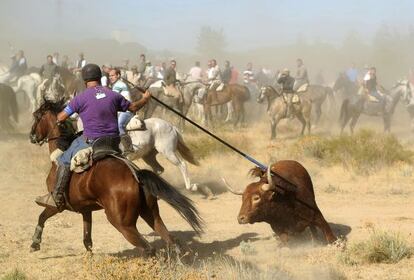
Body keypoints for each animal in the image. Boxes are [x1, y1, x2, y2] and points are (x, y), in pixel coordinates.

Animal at [28, 99, 203, 255]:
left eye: (37, 116)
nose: (32, 136)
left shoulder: (57, 205)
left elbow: (42, 217)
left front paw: (35, 243)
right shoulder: (85, 209)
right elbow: (87, 237)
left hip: (124, 220)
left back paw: (191, 186)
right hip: (151, 207)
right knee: (169, 238)